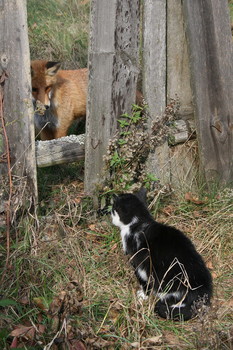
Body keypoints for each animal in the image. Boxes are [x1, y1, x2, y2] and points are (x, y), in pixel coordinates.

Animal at [111, 191, 213, 320]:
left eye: (113, 209)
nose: (110, 216)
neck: (139, 223)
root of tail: (202, 291)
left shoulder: (139, 262)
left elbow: (143, 280)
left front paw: (143, 295)